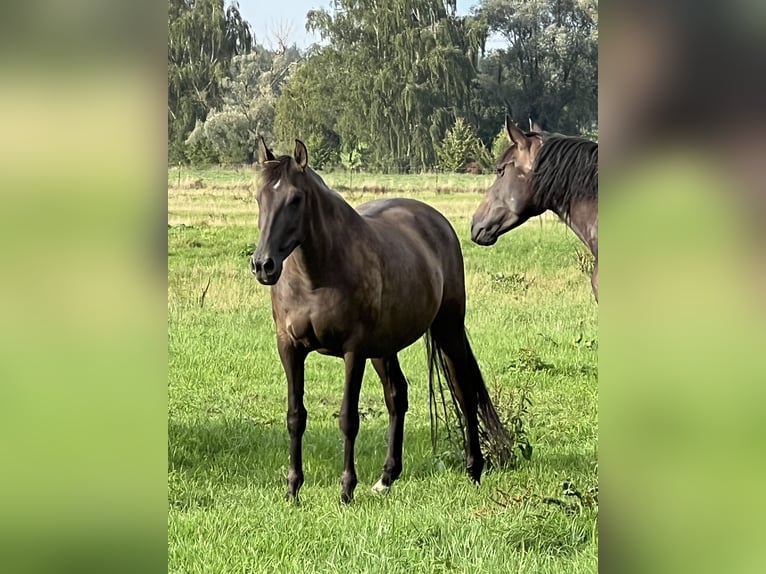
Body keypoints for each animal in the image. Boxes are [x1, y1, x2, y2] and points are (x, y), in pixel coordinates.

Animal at [250, 137, 513, 503]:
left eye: (295, 198)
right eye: (259, 197)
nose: (264, 265)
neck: (316, 276)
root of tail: (435, 221)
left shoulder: (353, 351)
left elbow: (348, 418)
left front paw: (346, 489)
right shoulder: (289, 348)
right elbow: (295, 417)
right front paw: (293, 488)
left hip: (447, 329)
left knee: (464, 392)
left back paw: (474, 469)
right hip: (385, 348)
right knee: (396, 396)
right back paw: (387, 477)